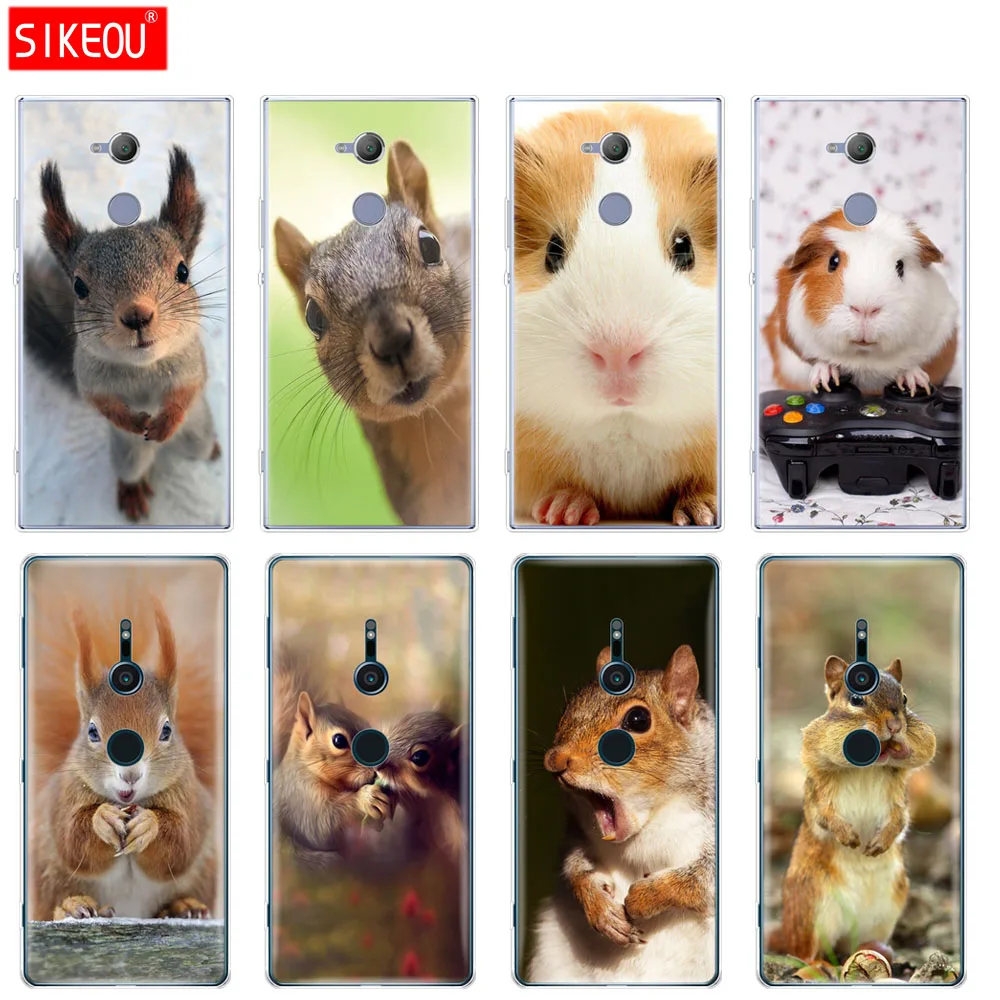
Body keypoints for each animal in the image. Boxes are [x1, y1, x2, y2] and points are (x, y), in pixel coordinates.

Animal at [26, 146, 221, 521]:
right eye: (79, 286)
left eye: (183, 271)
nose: (136, 316)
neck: (143, 366)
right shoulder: (88, 375)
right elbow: (101, 403)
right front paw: (133, 422)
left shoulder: (192, 362)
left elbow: (187, 391)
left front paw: (165, 421)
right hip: (127, 456)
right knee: (131, 471)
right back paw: (132, 493)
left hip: (199, 433)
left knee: (200, 446)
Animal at [30, 601, 216, 921]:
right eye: (92, 731)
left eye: (166, 730)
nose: (130, 775)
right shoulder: (65, 797)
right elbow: (72, 840)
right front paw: (102, 818)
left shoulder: (190, 799)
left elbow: (181, 844)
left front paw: (149, 824)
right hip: (46, 871)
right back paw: (71, 905)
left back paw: (183, 905)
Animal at [528, 645, 716, 984]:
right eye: (572, 705)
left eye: (638, 719)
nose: (554, 760)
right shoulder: (578, 832)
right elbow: (576, 866)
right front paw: (600, 909)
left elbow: (702, 879)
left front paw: (643, 898)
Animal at [769, 655, 937, 962]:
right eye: (856, 700)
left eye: (904, 698)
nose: (895, 725)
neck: (867, 768)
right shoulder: (819, 795)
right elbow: (825, 816)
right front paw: (848, 836)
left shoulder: (899, 798)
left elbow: (901, 820)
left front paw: (879, 843)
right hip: (812, 908)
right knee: (805, 952)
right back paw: (818, 965)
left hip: (885, 913)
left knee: (851, 946)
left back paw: (877, 950)